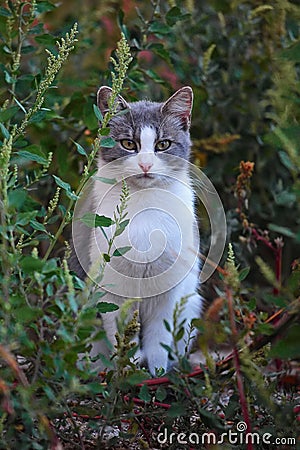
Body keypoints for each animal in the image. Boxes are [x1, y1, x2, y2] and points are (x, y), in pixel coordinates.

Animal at [72, 86, 204, 374]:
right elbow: (121, 333)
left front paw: (156, 372)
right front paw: (127, 371)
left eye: (163, 145)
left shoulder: (168, 290)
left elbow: (159, 338)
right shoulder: (112, 287)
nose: (145, 165)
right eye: (129, 144)